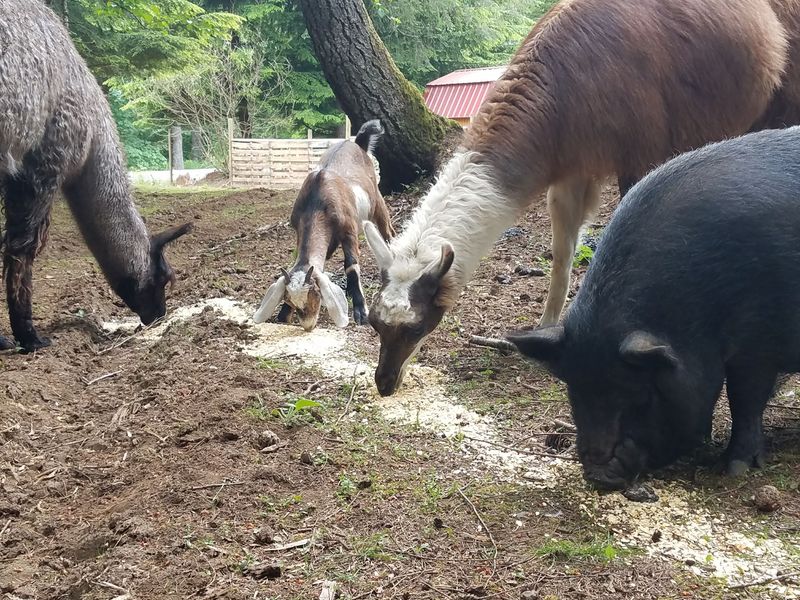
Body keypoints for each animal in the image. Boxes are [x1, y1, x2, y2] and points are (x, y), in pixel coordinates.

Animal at [253, 120, 394, 331]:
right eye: (288, 298)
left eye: (316, 293)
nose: (308, 325)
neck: (317, 202)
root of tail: (357, 143)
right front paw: (283, 315)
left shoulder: (349, 230)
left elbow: (351, 265)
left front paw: (361, 312)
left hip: (376, 201)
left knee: (388, 233)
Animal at [363, 0, 800, 396]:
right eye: (375, 322)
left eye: (416, 327)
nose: (384, 383)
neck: (566, 86)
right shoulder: (570, 170)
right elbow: (562, 252)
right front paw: (546, 328)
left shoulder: (641, 153)